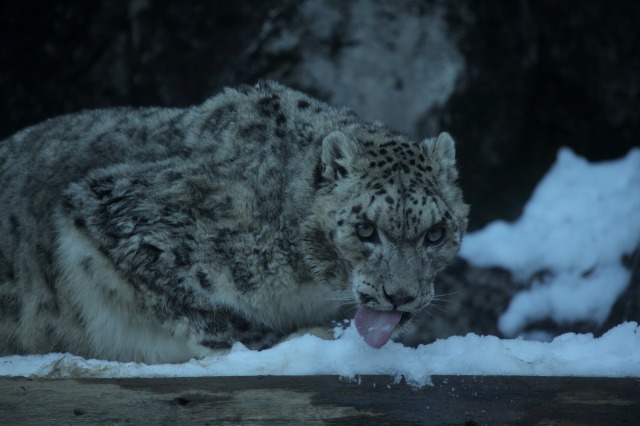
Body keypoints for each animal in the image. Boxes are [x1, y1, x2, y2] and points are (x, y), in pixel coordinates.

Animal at [0, 80, 470, 362]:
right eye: (365, 230)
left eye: (435, 234)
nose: (401, 296)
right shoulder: (124, 215)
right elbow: (209, 313)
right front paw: (296, 339)